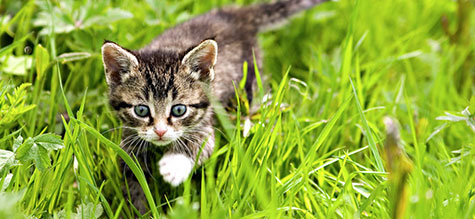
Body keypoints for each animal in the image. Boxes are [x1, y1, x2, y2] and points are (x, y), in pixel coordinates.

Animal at [102, 0, 330, 213]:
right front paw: (139, 209)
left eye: (179, 110)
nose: (160, 131)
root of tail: (234, 14)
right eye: (141, 110)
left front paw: (175, 164)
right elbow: (133, 179)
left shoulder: (205, 121)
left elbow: (203, 143)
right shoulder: (129, 140)